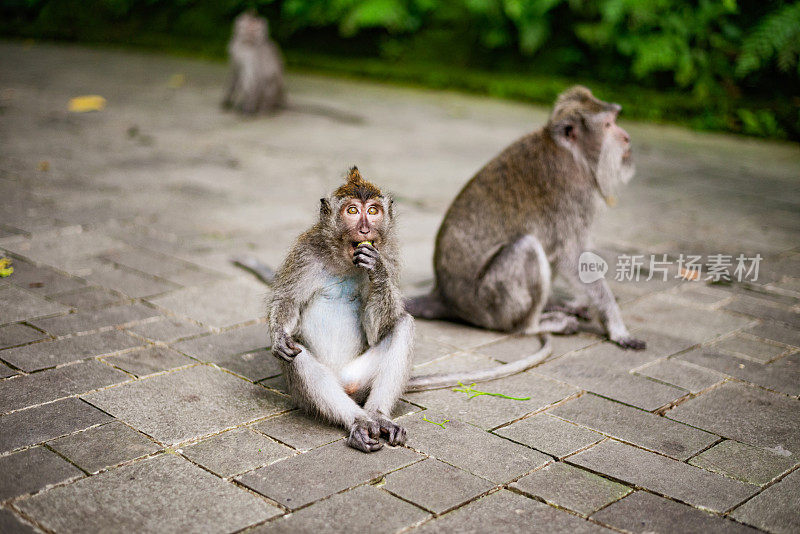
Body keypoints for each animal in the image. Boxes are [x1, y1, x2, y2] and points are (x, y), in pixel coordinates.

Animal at [272, 168, 416, 452]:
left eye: (372, 211)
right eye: (352, 210)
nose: (365, 228)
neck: (343, 261)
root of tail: (344, 384)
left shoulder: (389, 255)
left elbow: (376, 330)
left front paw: (377, 271)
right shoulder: (304, 253)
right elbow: (287, 301)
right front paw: (279, 334)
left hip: (358, 378)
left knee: (403, 324)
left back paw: (379, 418)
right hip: (309, 394)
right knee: (298, 353)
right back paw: (359, 423)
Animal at [410, 86, 648, 354]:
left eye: (615, 121)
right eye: (608, 125)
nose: (627, 137)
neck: (573, 154)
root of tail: (442, 296)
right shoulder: (575, 193)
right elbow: (572, 257)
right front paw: (616, 327)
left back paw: (554, 304)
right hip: (490, 306)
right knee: (527, 247)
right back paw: (537, 324)